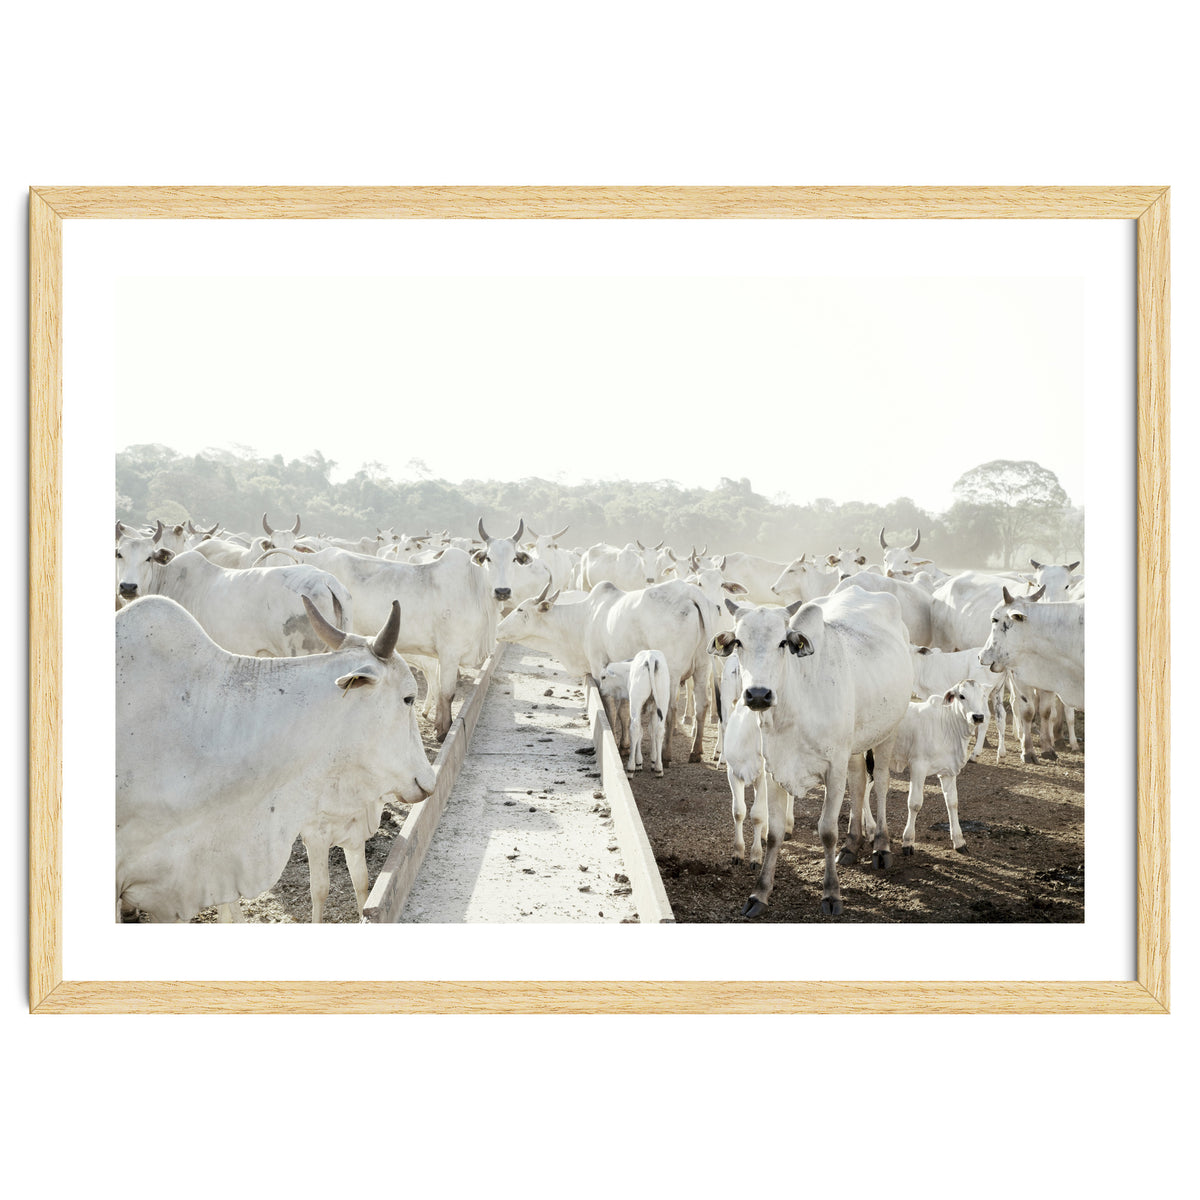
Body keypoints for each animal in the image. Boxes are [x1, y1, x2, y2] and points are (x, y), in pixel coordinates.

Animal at [497, 579, 715, 764]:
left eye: (520, 609)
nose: (498, 628)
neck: (584, 619)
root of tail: (690, 592)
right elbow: (624, 711)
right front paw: (625, 745)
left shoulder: (598, 667)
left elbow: (609, 707)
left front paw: (615, 741)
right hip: (703, 667)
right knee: (702, 704)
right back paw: (696, 752)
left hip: (671, 672)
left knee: (671, 709)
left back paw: (666, 754)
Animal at [711, 586, 913, 917]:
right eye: (739, 641)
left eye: (783, 641)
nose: (758, 695)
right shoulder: (774, 770)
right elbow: (773, 833)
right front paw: (759, 893)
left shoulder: (833, 768)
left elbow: (827, 831)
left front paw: (831, 894)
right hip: (853, 746)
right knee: (859, 783)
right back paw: (852, 844)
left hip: (888, 730)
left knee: (881, 782)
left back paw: (881, 847)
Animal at [884, 679, 991, 856]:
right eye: (962, 696)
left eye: (983, 695)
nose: (978, 716)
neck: (947, 727)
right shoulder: (918, 766)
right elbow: (914, 803)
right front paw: (908, 841)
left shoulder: (948, 772)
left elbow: (952, 803)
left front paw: (959, 841)